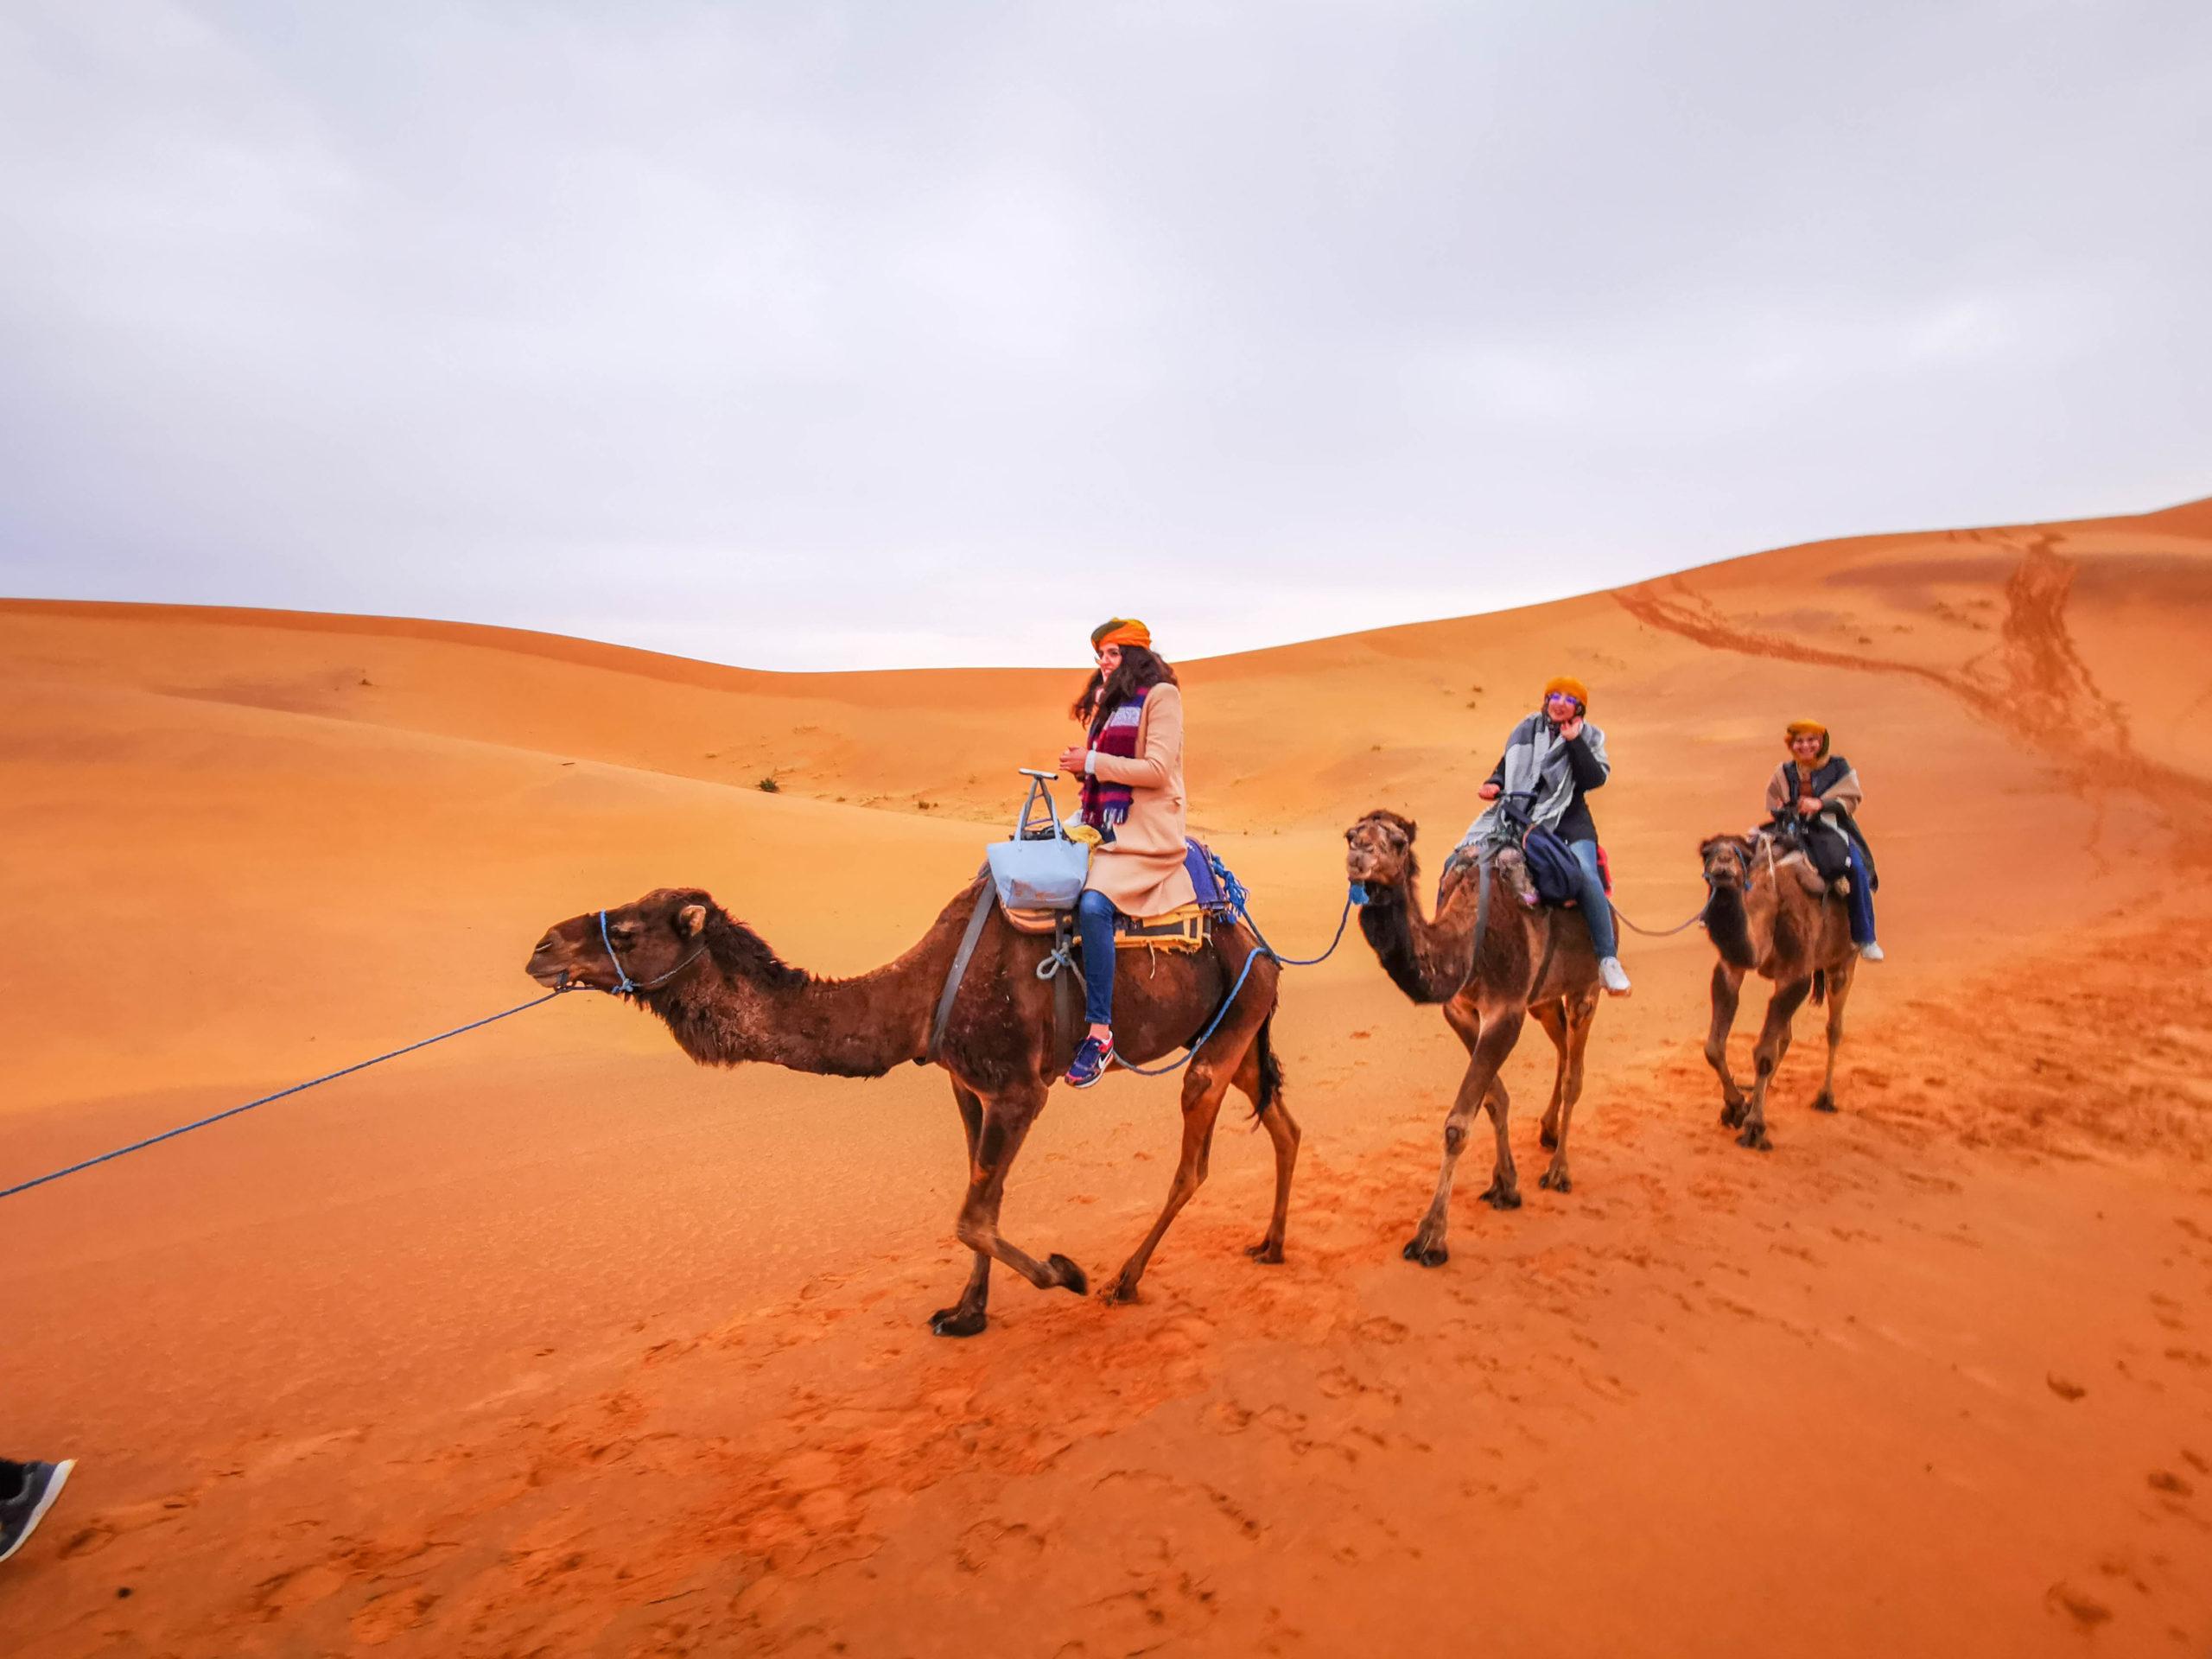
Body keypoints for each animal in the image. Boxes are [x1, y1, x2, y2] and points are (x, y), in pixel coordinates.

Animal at [524, 885, 1292, 1336]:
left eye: (626, 931)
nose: (541, 948)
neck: (916, 999)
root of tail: (1260, 944)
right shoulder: (968, 1086)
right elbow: (986, 1202)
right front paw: (967, 1313)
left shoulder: (1020, 1090)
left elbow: (971, 1216)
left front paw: (1063, 1273)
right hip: (1236, 1028)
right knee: (1283, 1123)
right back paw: (1272, 1245)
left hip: (1224, 1032)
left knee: (1193, 1161)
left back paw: (1123, 1282)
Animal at [1336, 814, 1601, 1265]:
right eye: (1351, 835)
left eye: (1398, 841)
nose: (1359, 857)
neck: (1466, 944)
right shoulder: (1460, 1010)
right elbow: (1494, 1099)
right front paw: (1505, 1185)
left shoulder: (1506, 1012)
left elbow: (1458, 1124)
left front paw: (1430, 1237)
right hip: (1544, 998)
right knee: (1563, 1046)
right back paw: (1547, 1132)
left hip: (1588, 984)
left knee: (1574, 1075)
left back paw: (1559, 1170)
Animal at [1699, 836, 1858, 1150]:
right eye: (1707, 852)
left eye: (1739, 853)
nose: (1722, 863)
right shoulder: (1731, 967)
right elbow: (1714, 1047)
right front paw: (1736, 1107)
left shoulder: (1796, 976)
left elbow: (1763, 1053)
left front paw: (1754, 1127)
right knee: (1785, 1036)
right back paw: (1757, 1096)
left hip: (1843, 959)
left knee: (1834, 1028)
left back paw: (1825, 1098)